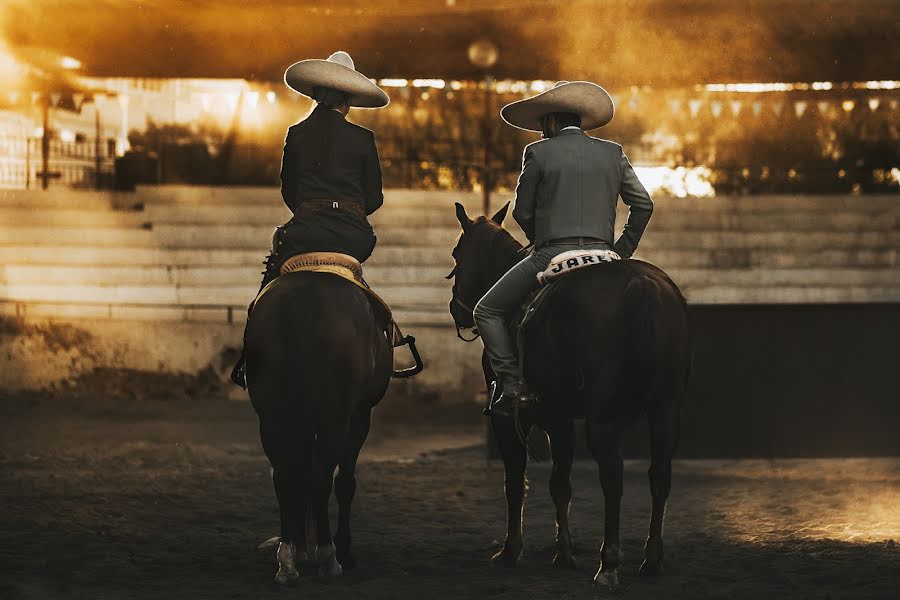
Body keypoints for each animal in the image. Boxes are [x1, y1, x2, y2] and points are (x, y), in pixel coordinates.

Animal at [246, 270, 422, 580]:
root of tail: (298, 300)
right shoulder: (360, 416)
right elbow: (345, 483)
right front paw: (343, 550)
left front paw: (302, 548)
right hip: (335, 418)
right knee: (321, 479)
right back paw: (329, 557)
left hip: (273, 417)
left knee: (284, 476)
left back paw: (288, 559)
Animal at [448, 203, 688, 584]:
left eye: (458, 252)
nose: (457, 309)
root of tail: (640, 284)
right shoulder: (560, 419)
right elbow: (561, 483)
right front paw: (563, 551)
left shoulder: (520, 418)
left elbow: (517, 481)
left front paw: (513, 550)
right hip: (666, 408)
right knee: (659, 476)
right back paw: (651, 560)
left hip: (603, 420)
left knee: (613, 479)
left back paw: (609, 564)